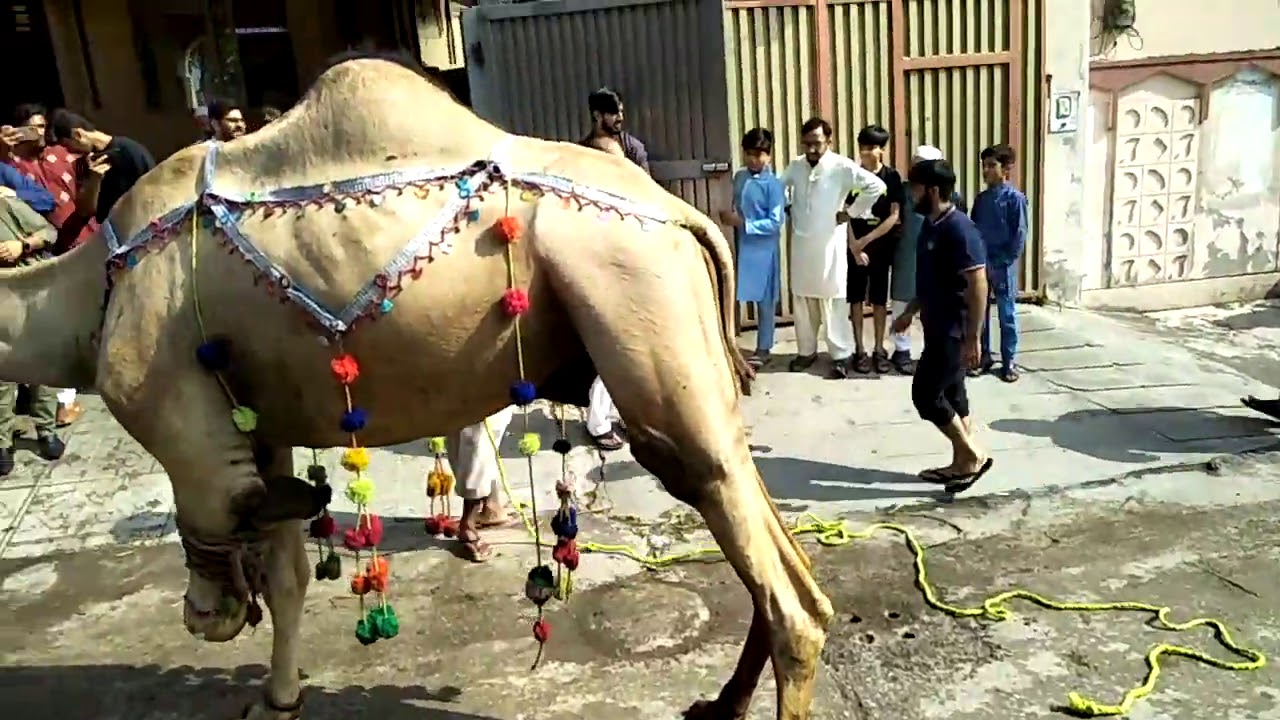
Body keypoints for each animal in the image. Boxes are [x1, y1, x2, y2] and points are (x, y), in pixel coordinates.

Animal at [0, 53, 833, 719]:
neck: (82, 298)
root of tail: (689, 216)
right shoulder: (259, 419)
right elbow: (289, 566)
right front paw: (279, 698)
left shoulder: (167, 401)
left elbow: (220, 524)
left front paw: (215, 610)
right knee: (759, 526)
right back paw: (718, 703)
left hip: (636, 296)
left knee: (763, 562)